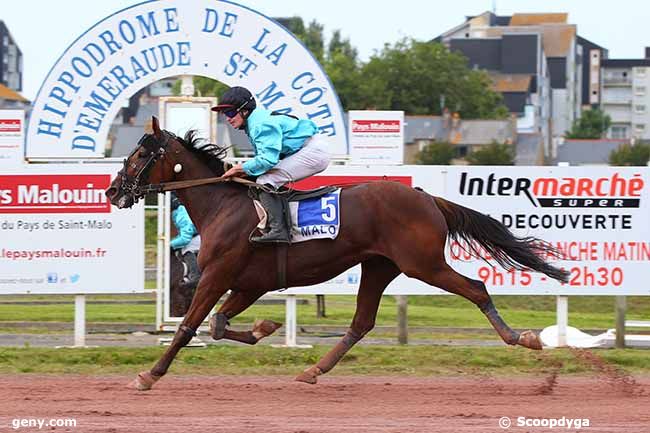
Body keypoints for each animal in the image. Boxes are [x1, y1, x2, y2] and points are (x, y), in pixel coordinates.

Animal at [106, 116, 568, 390]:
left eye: (141, 154)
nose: (112, 191)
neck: (224, 205)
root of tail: (425, 196)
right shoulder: (249, 283)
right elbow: (219, 325)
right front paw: (265, 327)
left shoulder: (219, 276)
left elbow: (188, 327)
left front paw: (149, 375)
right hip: (380, 267)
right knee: (361, 322)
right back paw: (313, 369)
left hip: (424, 264)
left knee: (475, 288)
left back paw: (521, 338)